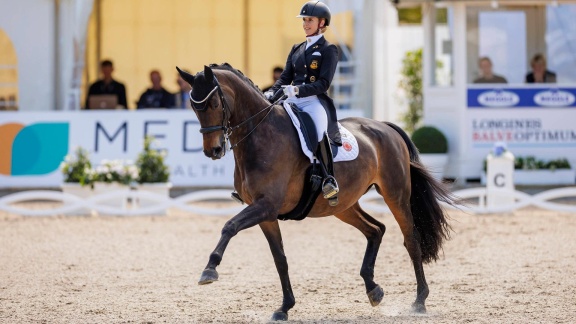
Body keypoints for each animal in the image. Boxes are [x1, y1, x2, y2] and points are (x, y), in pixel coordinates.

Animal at [177, 63, 454, 322]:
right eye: (193, 106)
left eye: (214, 102)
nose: (213, 151)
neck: (261, 135)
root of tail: (384, 127)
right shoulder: (266, 214)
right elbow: (280, 259)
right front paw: (284, 308)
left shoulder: (266, 205)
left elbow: (229, 226)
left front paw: (210, 269)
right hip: (342, 205)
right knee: (375, 230)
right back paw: (373, 290)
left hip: (395, 195)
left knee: (411, 239)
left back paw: (419, 301)